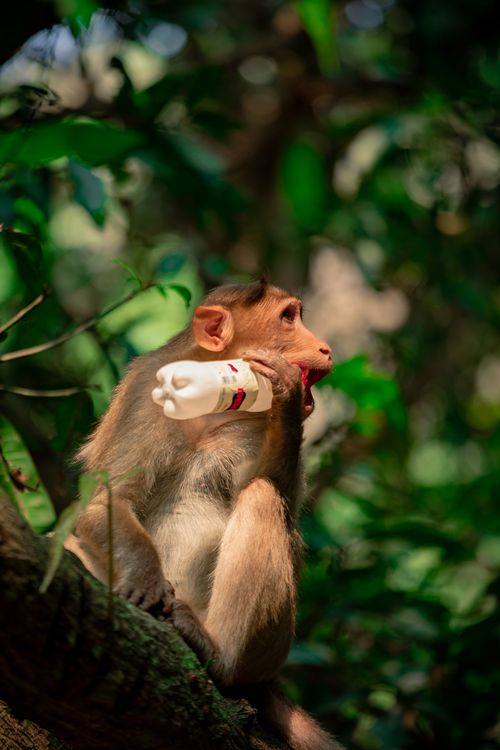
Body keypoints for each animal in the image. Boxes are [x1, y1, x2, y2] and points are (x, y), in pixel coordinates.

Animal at [64, 280, 342, 750]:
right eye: (288, 317)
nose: (324, 347)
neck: (209, 408)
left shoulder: (255, 424)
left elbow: (276, 489)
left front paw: (286, 398)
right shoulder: (143, 395)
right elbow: (107, 502)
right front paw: (145, 579)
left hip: (269, 647)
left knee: (261, 496)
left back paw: (221, 656)